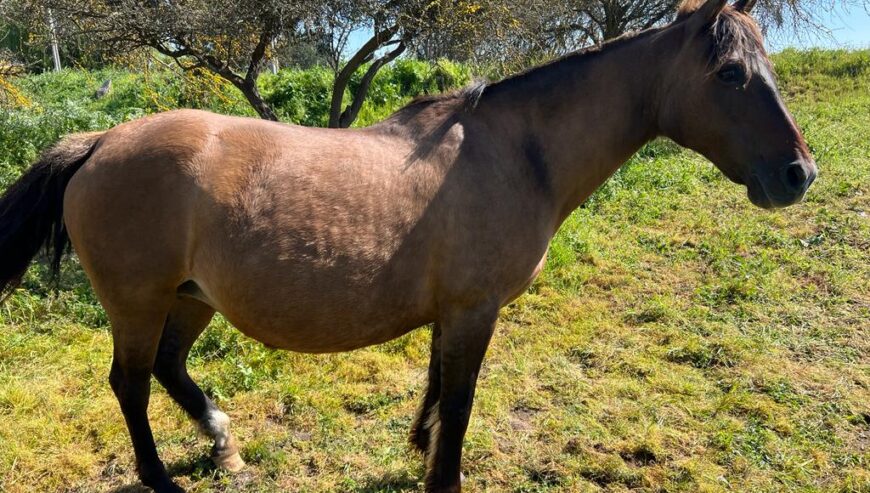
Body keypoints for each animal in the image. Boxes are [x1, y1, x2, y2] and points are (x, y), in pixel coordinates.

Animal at [0, 1, 816, 490]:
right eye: (731, 73)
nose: (798, 173)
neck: (516, 152)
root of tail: (98, 141)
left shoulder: (452, 311)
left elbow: (434, 390)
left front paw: (420, 450)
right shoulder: (475, 309)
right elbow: (458, 399)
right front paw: (442, 473)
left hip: (191, 298)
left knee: (169, 370)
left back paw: (223, 442)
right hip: (139, 303)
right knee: (131, 384)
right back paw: (163, 475)